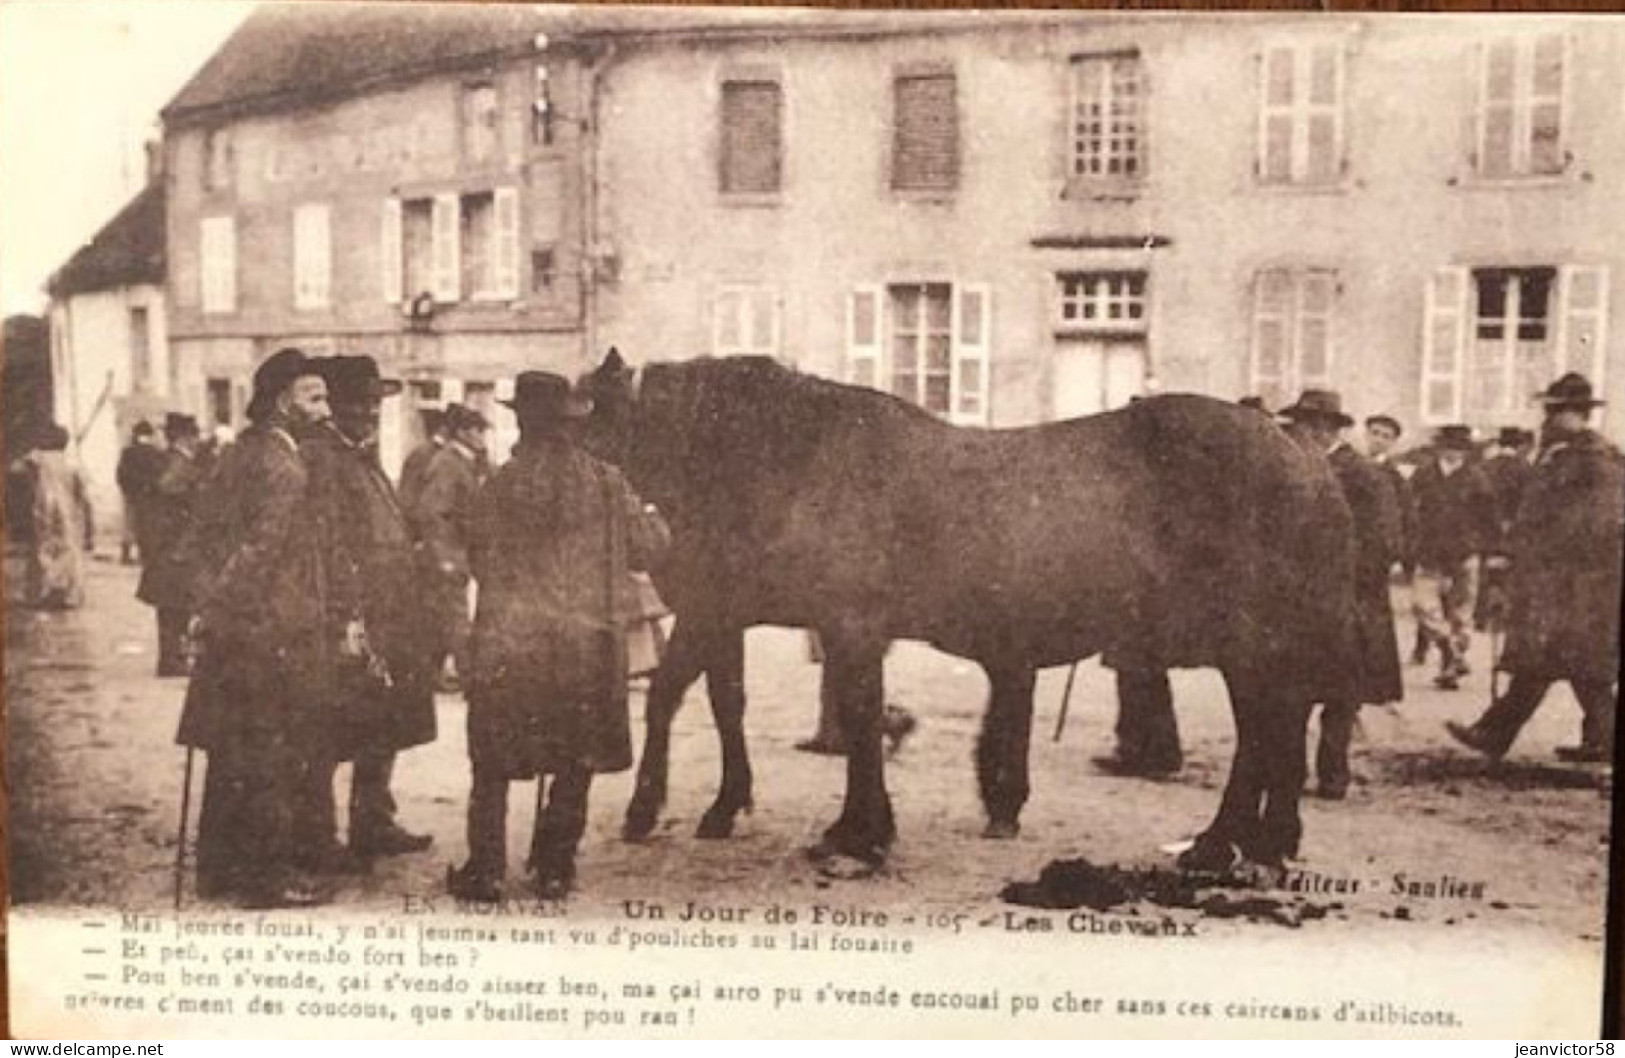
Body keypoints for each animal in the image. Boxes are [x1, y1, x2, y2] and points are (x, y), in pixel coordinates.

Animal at [575, 351, 1358, 871]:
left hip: (1247, 640)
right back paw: (1255, 840)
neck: (796, 459)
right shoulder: (746, 613)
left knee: (1264, 731)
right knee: (1272, 729)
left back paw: (1227, 841)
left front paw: (855, 833)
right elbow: (722, 699)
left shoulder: (843, 625)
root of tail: (1302, 458)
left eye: (586, 431)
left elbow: (851, 718)